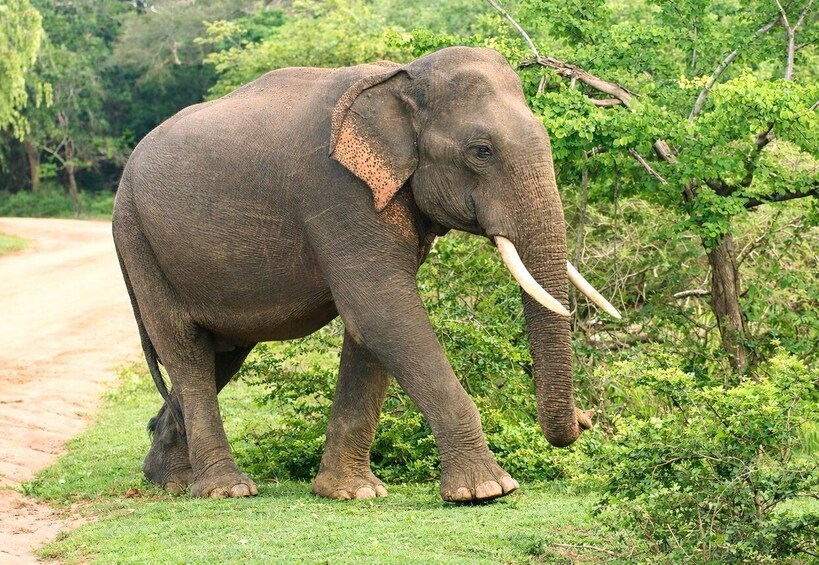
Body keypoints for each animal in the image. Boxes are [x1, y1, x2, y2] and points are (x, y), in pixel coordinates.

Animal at [112, 46, 620, 503]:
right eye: (481, 151)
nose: (587, 418)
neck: (400, 78)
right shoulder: (338, 191)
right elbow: (382, 311)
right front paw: (487, 491)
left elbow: (370, 329)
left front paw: (353, 493)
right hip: (138, 241)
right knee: (186, 348)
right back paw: (226, 490)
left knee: (221, 352)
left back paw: (170, 479)